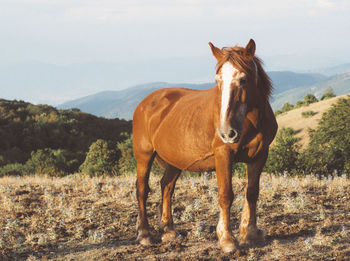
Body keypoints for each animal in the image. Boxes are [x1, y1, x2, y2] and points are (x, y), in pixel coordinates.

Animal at [133, 39, 278, 252]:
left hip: (175, 161)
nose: (227, 132)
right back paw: (144, 234)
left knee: (166, 186)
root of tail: (144, 103)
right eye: (218, 81)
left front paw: (250, 234)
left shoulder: (260, 155)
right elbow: (226, 195)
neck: (250, 120)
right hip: (144, 156)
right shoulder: (223, 154)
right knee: (142, 190)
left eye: (243, 79)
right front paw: (227, 239)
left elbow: (252, 193)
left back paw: (169, 230)